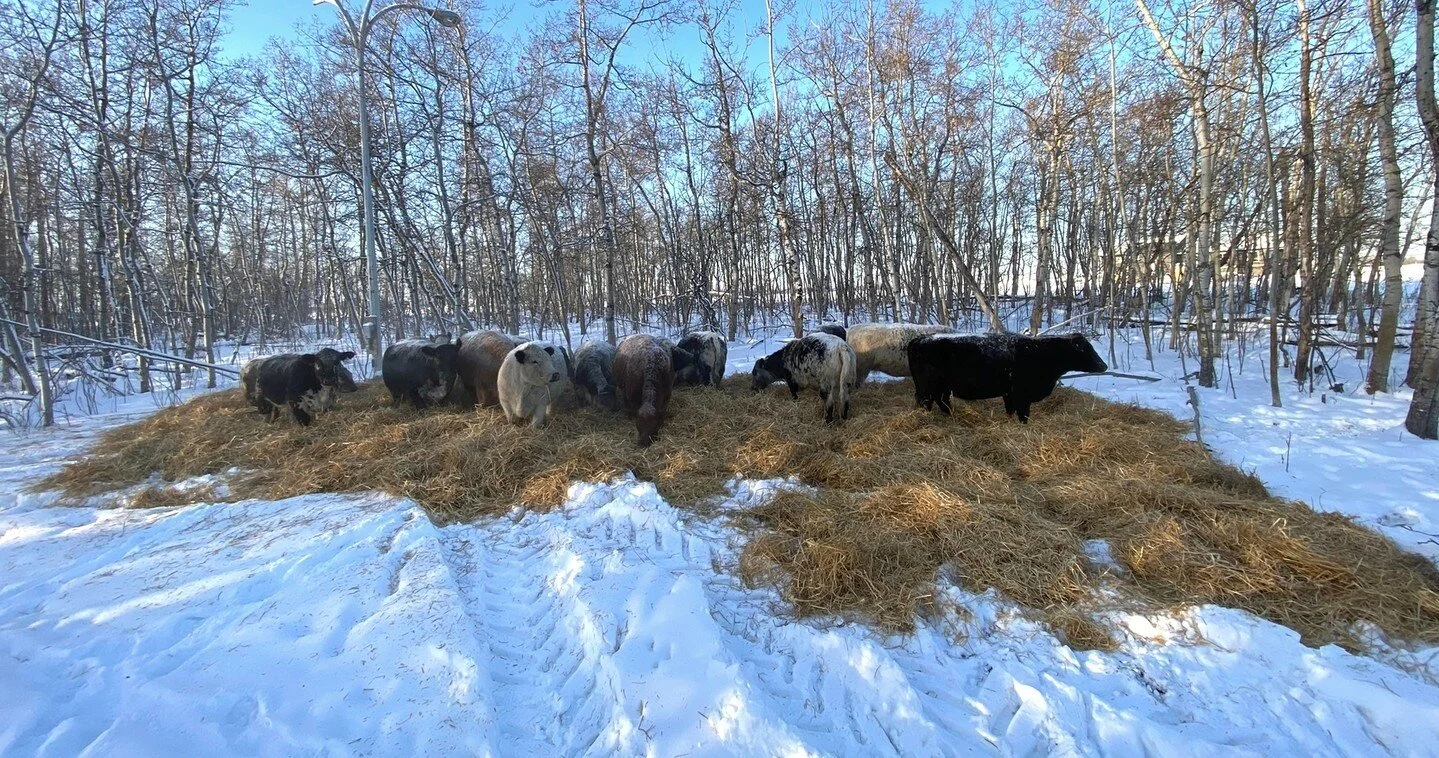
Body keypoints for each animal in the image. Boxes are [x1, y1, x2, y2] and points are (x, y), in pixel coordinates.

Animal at [907, 332, 1108, 423]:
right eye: (1086, 350)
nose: (1104, 365)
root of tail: (920, 339)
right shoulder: (1021, 395)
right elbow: (1023, 415)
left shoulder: (1009, 394)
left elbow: (1010, 411)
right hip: (928, 386)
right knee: (926, 401)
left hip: (942, 387)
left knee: (941, 401)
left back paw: (951, 415)